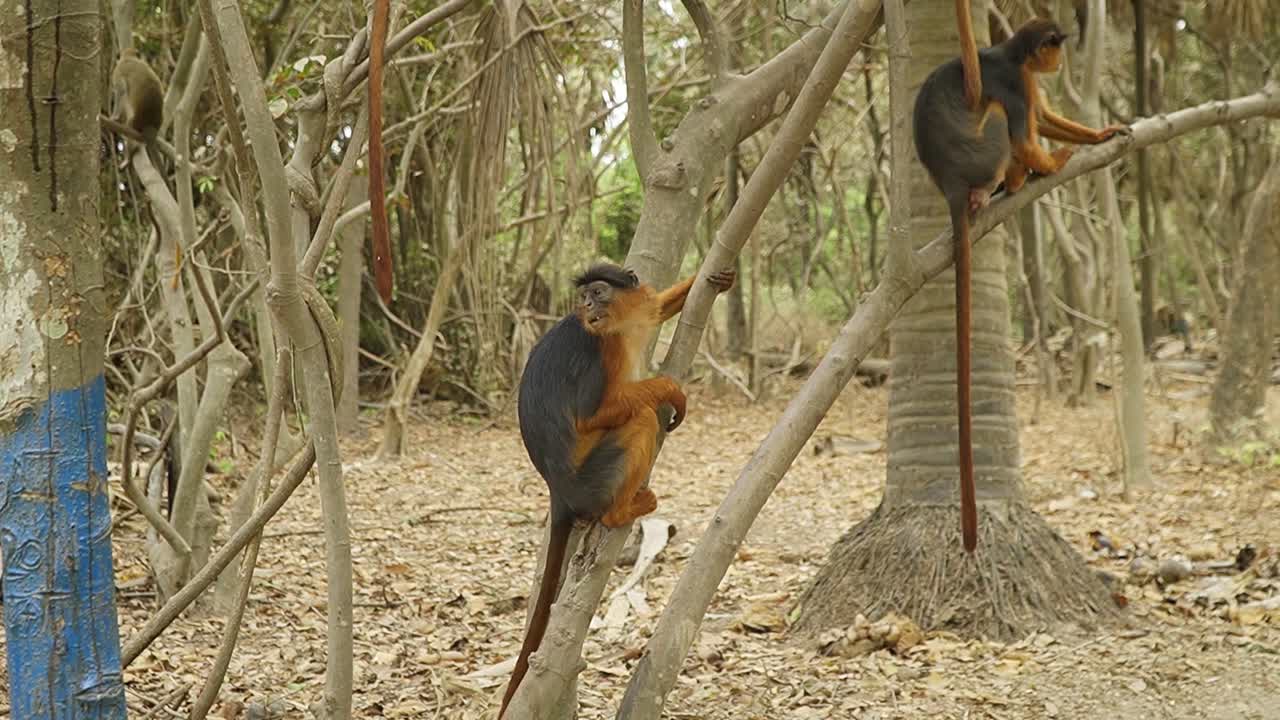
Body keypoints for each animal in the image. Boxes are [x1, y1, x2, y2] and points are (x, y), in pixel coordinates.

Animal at [499, 263, 735, 717]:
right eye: (585, 297)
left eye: (598, 292)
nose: (589, 308)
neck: (617, 326)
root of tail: (558, 491)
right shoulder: (599, 347)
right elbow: (593, 414)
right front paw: (670, 389)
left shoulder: (635, 314)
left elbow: (657, 306)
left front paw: (715, 275)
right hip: (592, 480)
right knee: (641, 417)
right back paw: (621, 510)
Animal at [912, 0, 1126, 553]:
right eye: (1055, 43)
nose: (1063, 54)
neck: (1011, 55)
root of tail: (949, 182)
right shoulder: (1014, 81)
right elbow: (1026, 134)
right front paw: (1054, 162)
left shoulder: (1028, 81)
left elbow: (1046, 118)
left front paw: (1100, 134)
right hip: (981, 152)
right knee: (1003, 128)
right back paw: (1016, 180)